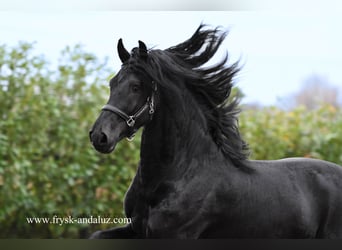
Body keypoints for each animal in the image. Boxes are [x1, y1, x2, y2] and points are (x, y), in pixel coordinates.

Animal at [89, 24, 342, 238]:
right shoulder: (135, 229)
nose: (99, 136)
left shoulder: (174, 235)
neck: (181, 173)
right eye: (112, 83)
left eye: (135, 86)